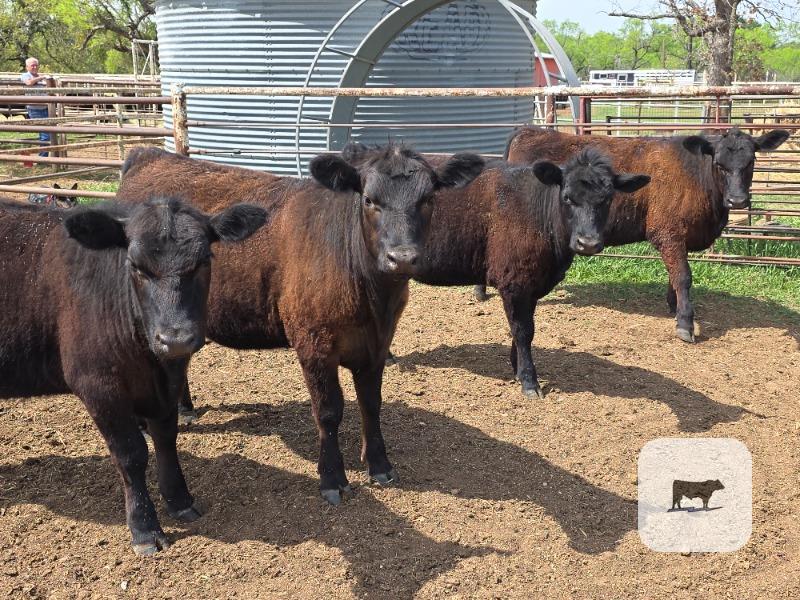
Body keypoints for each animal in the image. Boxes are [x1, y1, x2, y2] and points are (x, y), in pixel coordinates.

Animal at [0, 197, 267, 555]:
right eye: (136, 266)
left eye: (203, 261)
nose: (175, 339)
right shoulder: (99, 387)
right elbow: (131, 455)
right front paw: (144, 527)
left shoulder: (166, 386)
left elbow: (166, 439)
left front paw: (180, 500)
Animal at [117, 143, 484, 505]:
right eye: (369, 199)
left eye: (428, 198)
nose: (402, 257)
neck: (372, 298)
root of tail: (149, 154)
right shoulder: (313, 344)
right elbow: (328, 411)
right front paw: (333, 479)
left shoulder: (378, 345)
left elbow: (371, 403)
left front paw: (380, 465)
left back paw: (184, 408)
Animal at [410, 148, 650, 398]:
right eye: (567, 197)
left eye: (609, 198)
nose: (588, 243)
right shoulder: (514, 282)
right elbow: (522, 331)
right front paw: (529, 380)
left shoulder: (531, 285)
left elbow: (527, 330)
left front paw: (517, 369)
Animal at [501, 126, 790, 343]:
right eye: (719, 163)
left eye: (751, 161)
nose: (737, 200)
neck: (695, 176)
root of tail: (529, 131)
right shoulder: (668, 232)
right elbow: (683, 276)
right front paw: (685, 322)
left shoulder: (679, 238)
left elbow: (674, 275)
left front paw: (673, 305)